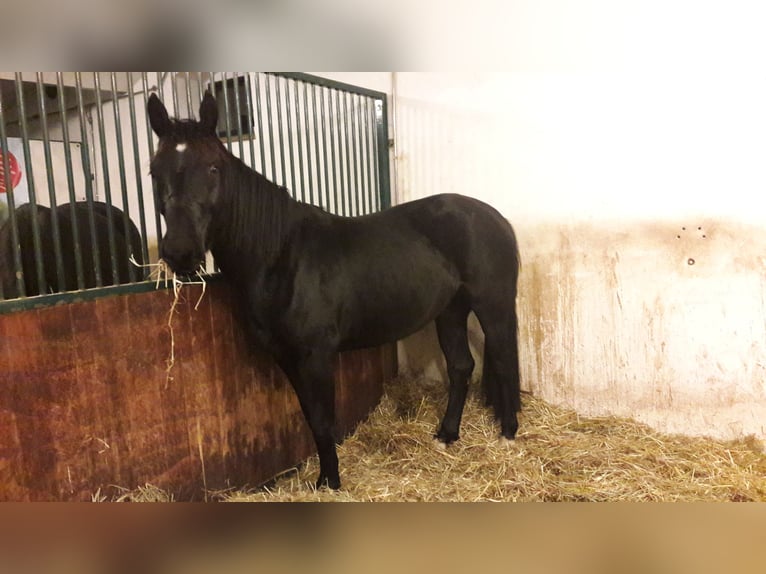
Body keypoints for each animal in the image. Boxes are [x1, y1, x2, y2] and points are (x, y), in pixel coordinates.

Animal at [148, 92, 522, 490]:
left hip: (493, 306)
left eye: (214, 168)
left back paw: (508, 435)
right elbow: (312, 419)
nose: (181, 252)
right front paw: (324, 479)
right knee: (461, 366)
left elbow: (325, 420)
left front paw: (332, 482)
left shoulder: (317, 355)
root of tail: (495, 217)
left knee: (503, 360)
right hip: (450, 309)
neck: (282, 256)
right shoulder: (287, 357)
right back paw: (447, 436)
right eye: (155, 171)